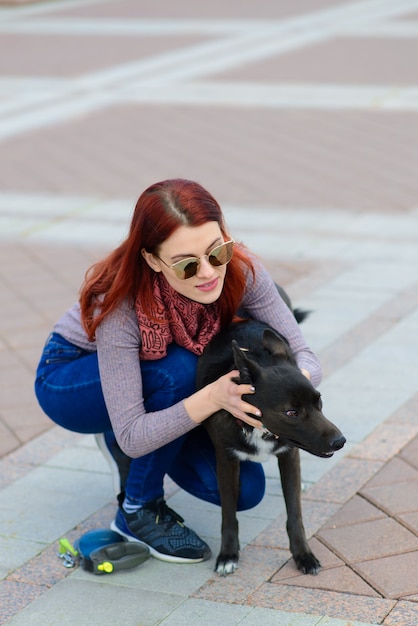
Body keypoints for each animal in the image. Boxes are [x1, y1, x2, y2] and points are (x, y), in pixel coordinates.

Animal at [196, 294, 346, 572]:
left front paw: (303, 554)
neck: (260, 429)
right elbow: (228, 514)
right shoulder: (226, 460)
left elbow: (295, 514)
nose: (340, 441)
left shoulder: (289, 456)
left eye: (318, 400)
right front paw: (228, 554)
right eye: (291, 412)